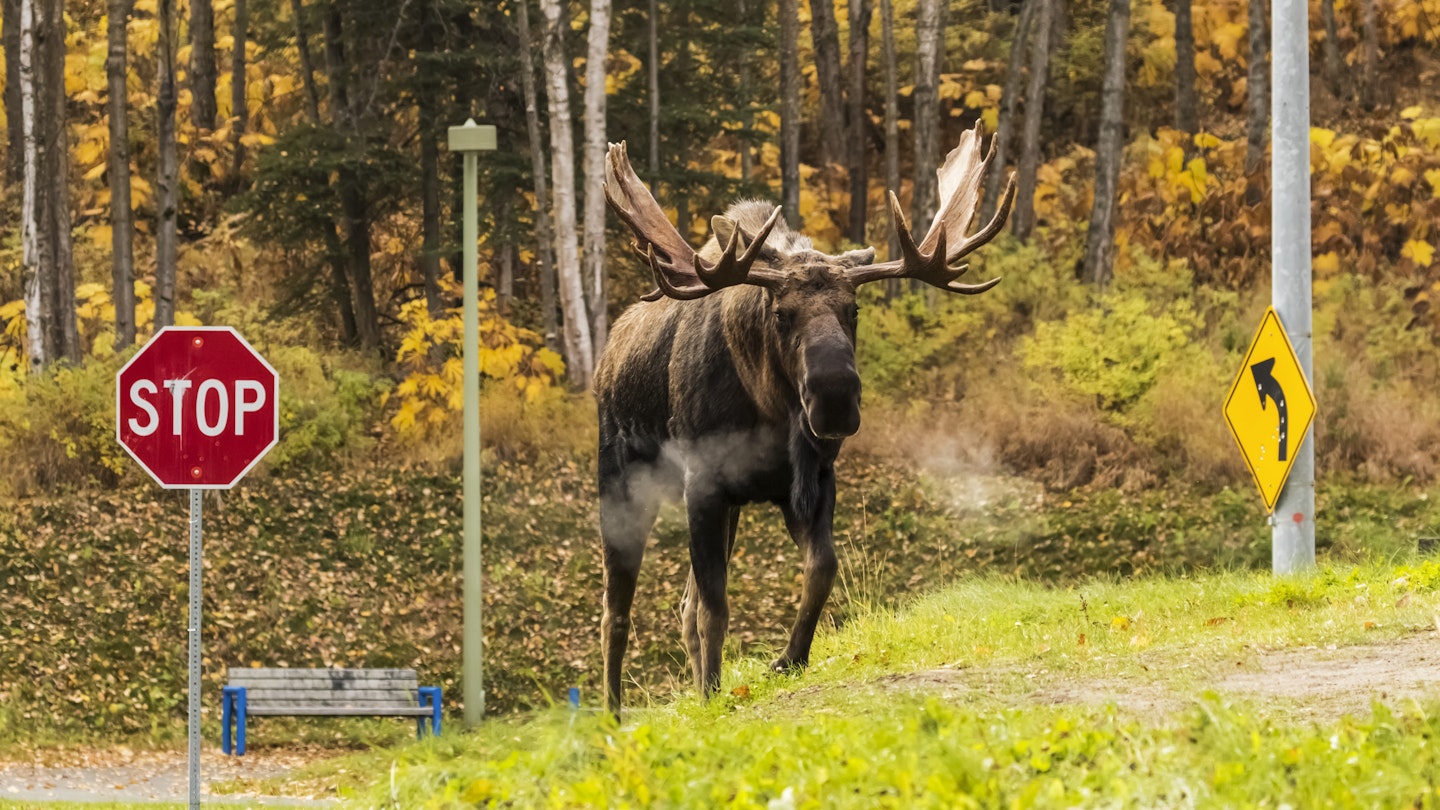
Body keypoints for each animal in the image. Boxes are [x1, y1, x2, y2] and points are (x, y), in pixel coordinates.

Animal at [594, 123, 1016, 713]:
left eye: (853, 309)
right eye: (780, 313)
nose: (835, 397)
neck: (770, 412)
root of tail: (607, 357)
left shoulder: (809, 478)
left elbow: (820, 568)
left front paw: (786, 658)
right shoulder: (704, 485)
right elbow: (716, 607)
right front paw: (713, 695)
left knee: (680, 604)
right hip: (620, 480)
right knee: (616, 609)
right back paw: (612, 711)